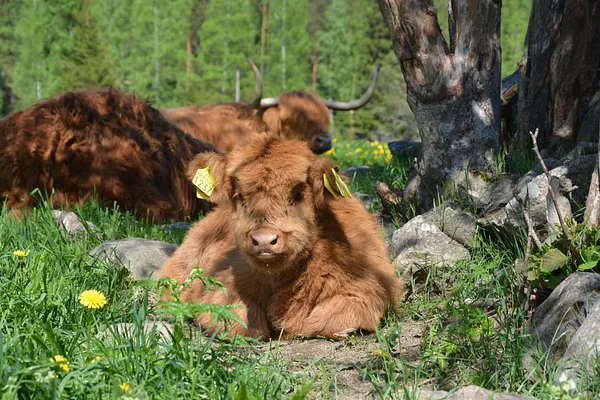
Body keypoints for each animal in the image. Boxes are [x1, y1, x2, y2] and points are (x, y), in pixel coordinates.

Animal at [159, 135, 404, 340]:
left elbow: (337, 318)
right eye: (240, 196)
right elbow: (239, 318)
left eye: (298, 194)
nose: (264, 240)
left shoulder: (370, 288)